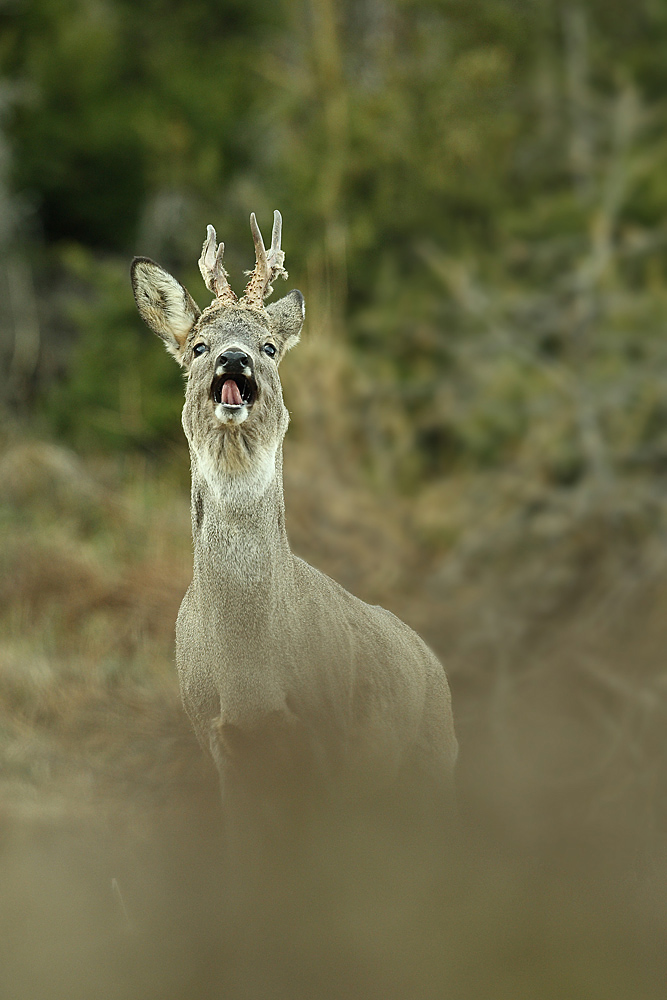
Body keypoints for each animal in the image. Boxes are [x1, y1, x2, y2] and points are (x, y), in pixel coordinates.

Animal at [130, 213, 456, 836]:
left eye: (270, 346)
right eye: (199, 345)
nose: (235, 360)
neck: (252, 674)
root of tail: (431, 660)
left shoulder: (329, 732)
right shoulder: (219, 740)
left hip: (428, 763)